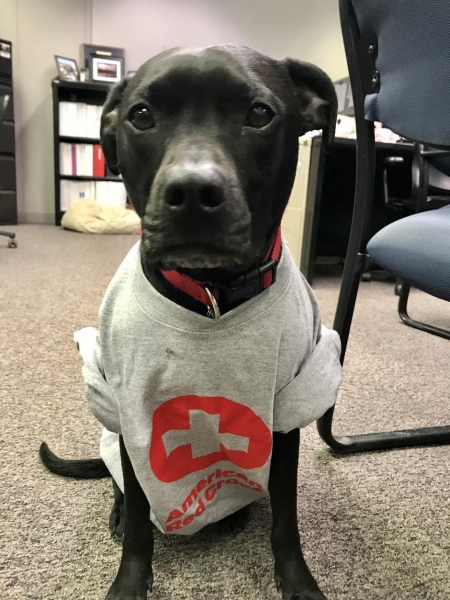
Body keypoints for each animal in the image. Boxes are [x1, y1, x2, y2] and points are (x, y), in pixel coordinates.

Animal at [41, 44, 338, 596]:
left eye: (259, 113)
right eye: (141, 115)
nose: (194, 191)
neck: (211, 293)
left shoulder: (288, 411)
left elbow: (286, 519)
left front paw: (297, 580)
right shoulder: (132, 414)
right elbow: (140, 520)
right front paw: (129, 582)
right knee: (121, 488)